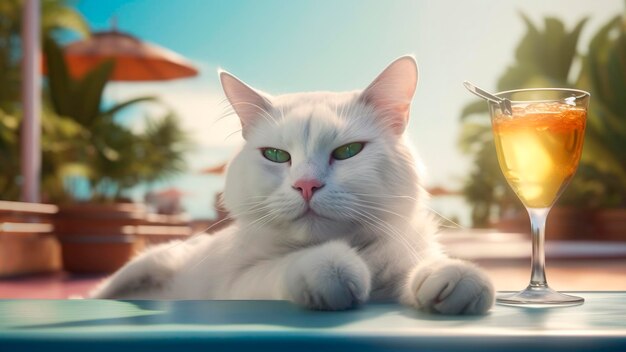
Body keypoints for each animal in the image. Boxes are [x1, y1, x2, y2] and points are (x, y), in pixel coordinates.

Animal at [91, 56, 492, 314]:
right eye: (275, 155)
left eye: (347, 151)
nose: (306, 185)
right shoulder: (236, 284)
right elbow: (282, 266)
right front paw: (330, 268)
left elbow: (418, 265)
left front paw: (449, 275)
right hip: (148, 264)